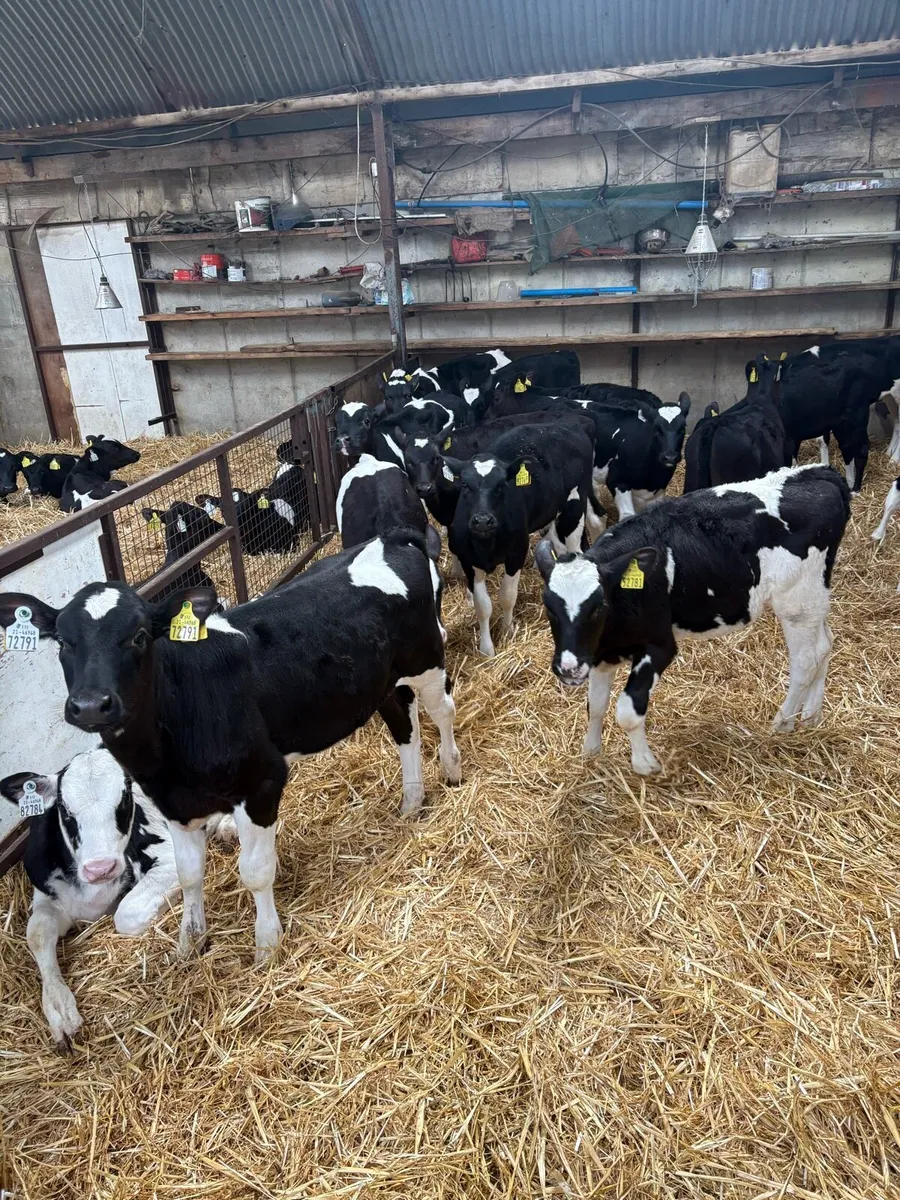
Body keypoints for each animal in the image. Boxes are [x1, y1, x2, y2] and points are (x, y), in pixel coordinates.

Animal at [0, 531, 461, 961]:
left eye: (140, 636)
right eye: (62, 642)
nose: (91, 705)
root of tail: (389, 538)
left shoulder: (261, 784)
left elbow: (255, 871)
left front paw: (267, 945)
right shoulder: (174, 805)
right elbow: (189, 874)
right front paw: (190, 943)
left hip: (427, 658)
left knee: (443, 710)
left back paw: (451, 769)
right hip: (382, 682)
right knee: (404, 725)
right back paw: (411, 802)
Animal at [1, 748, 235, 1047]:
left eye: (124, 799)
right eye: (64, 809)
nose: (100, 868)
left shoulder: (168, 858)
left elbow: (126, 914)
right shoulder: (46, 892)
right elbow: (38, 933)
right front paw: (59, 1010)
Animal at [446, 422, 595, 656]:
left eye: (501, 485)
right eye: (465, 486)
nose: (482, 520)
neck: (487, 545)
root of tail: (567, 425)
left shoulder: (517, 552)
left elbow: (507, 597)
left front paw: (507, 632)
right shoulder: (469, 560)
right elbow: (483, 606)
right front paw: (486, 649)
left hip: (574, 509)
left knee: (576, 551)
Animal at [535, 465, 850, 775]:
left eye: (598, 607)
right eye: (550, 608)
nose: (568, 668)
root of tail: (821, 473)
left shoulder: (659, 646)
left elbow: (628, 709)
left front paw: (645, 764)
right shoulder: (600, 652)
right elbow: (596, 705)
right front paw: (591, 754)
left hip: (797, 601)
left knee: (806, 660)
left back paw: (783, 722)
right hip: (813, 599)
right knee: (824, 645)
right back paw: (810, 715)